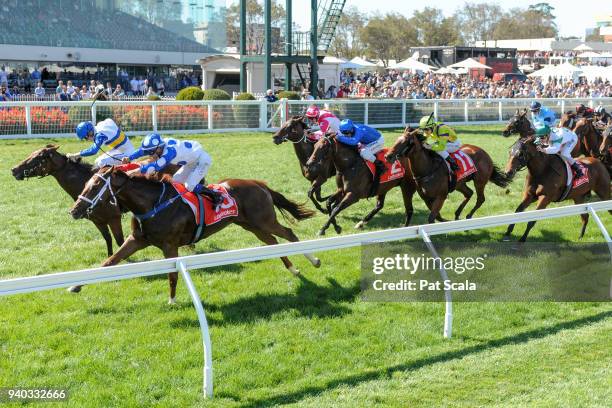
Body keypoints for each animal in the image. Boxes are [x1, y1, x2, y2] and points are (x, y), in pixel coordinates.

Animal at [70, 166, 320, 302]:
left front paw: (172, 300)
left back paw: (314, 260)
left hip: (264, 220)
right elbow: (110, 261)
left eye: (95, 187)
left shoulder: (170, 245)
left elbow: (172, 274)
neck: (152, 203)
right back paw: (293, 269)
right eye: (87, 184)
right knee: (273, 243)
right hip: (252, 225)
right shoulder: (137, 240)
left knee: (289, 234)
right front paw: (75, 286)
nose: (74, 210)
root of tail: (259, 183)